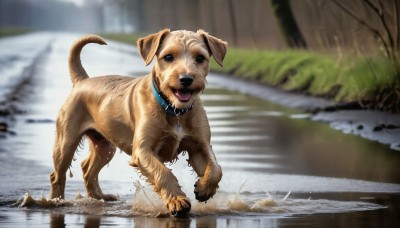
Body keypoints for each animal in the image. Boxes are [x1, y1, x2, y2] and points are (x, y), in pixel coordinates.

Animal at [48, 28, 227, 216]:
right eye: (168, 57)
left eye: (200, 58)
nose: (186, 79)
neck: (174, 110)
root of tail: (82, 81)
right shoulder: (142, 151)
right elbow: (163, 172)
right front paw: (177, 200)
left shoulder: (200, 146)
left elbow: (216, 168)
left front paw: (204, 188)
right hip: (66, 143)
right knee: (57, 176)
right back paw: (56, 201)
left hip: (105, 147)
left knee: (87, 169)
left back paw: (99, 197)